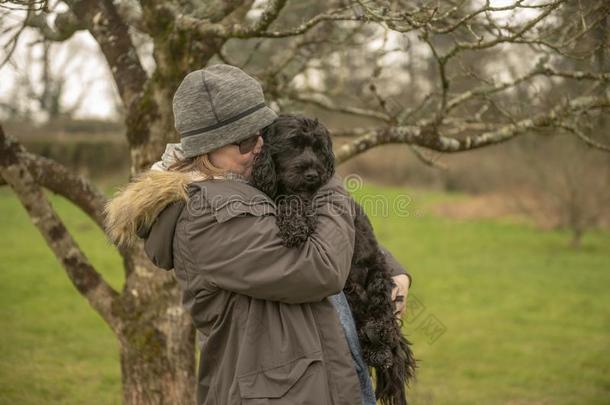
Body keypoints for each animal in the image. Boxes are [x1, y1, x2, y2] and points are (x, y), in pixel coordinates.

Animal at [249, 113, 416, 404]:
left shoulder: (310, 199)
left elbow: (295, 201)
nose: (313, 174)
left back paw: (379, 347)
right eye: (293, 145)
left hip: (377, 278)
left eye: (318, 148)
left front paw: (293, 225)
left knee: (385, 322)